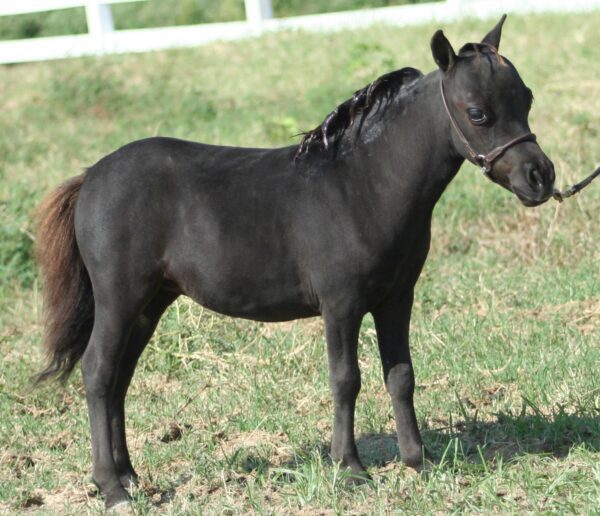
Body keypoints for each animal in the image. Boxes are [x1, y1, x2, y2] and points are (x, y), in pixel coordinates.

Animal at [35, 17, 556, 512]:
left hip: (149, 304)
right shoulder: (341, 305)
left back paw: (130, 478)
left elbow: (401, 375)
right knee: (98, 373)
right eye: (478, 112)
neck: (364, 184)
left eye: (527, 98)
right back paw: (111, 489)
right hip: (119, 299)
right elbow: (346, 380)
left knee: (119, 380)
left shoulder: (396, 300)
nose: (541, 177)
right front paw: (350, 468)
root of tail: (91, 176)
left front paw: (418, 461)